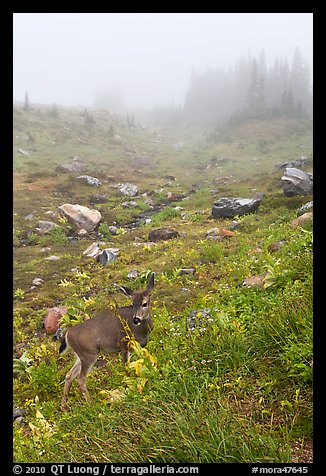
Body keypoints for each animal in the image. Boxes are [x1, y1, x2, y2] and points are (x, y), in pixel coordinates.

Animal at [59, 274, 154, 410]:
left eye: (144, 303)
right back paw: (91, 404)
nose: (136, 319)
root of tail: (67, 334)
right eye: (132, 304)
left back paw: (64, 407)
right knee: (81, 379)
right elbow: (126, 367)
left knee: (69, 374)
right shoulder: (123, 344)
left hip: (80, 355)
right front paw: (129, 385)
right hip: (89, 355)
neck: (142, 330)